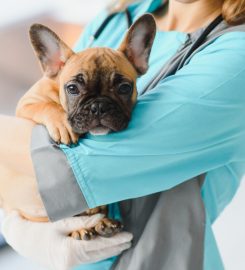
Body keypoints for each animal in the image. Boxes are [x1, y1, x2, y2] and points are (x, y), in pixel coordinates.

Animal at [16, 13, 156, 240]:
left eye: (124, 88)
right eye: (72, 88)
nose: (98, 106)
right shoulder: (26, 104)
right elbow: (46, 105)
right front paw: (62, 124)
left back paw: (103, 223)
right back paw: (82, 228)